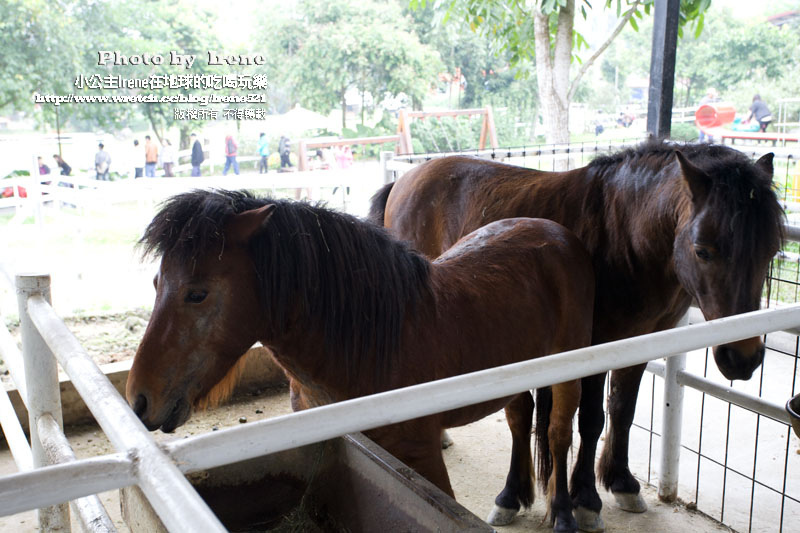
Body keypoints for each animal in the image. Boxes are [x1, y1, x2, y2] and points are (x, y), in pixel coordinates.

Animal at [128, 189, 592, 528]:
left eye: (197, 293)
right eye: (155, 283)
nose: (139, 400)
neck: (370, 346)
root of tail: (557, 233)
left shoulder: (423, 457)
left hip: (568, 376)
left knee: (557, 433)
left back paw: (565, 516)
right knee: (519, 419)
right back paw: (510, 499)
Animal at [372, 139, 784, 528]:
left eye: (772, 251)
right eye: (702, 250)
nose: (743, 358)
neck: (627, 234)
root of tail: (405, 180)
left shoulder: (640, 345)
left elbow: (622, 410)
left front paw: (622, 483)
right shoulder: (595, 348)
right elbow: (590, 419)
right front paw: (585, 500)